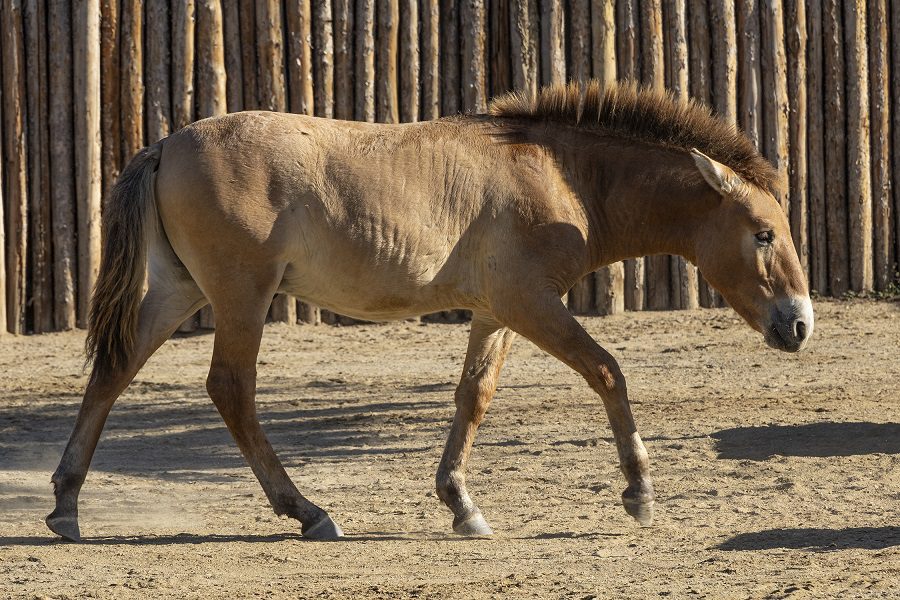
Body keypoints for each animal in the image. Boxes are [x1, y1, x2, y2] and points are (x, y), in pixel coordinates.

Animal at [46, 81, 813, 541]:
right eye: (763, 233)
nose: (799, 323)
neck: (560, 173)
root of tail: (166, 144)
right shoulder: (530, 303)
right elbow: (608, 372)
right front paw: (639, 491)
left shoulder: (496, 313)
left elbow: (473, 397)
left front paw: (461, 505)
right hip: (241, 297)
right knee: (230, 389)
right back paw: (308, 512)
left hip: (182, 292)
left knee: (113, 371)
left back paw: (65, 505)